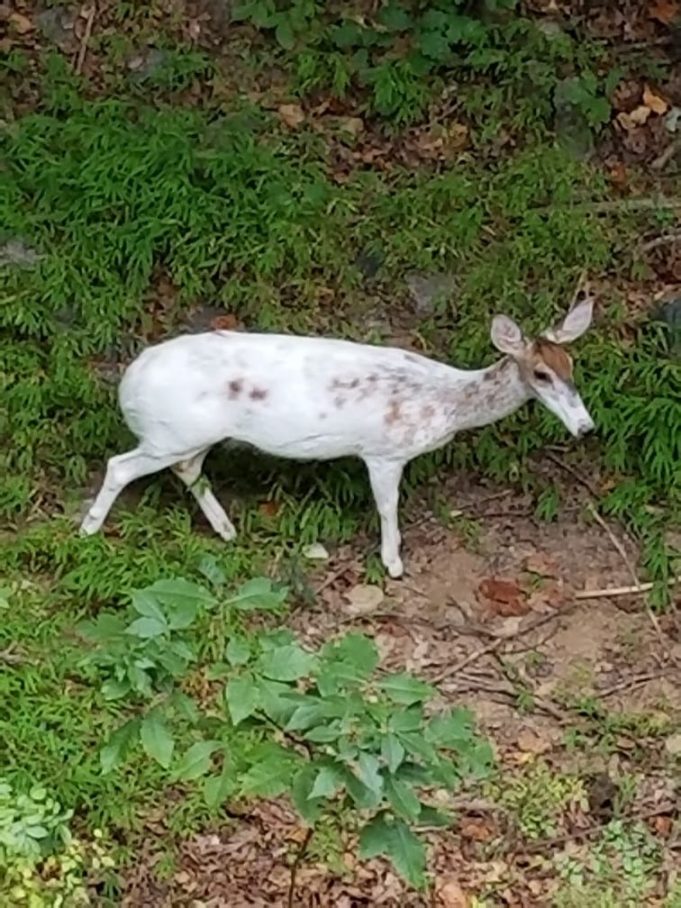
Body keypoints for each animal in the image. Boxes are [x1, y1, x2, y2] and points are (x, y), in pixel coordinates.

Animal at [80, 288, 595, 578]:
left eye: (572, 365)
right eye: (540, 374)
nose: (586, 427)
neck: (443, 404)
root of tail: (128, 383)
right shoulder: (384, 451)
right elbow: (387, 506)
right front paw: (393, 564)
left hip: (188, 434)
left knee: (188, 470)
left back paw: (227, 531)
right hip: (169, 432)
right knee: (120, 466)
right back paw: (87, 531)